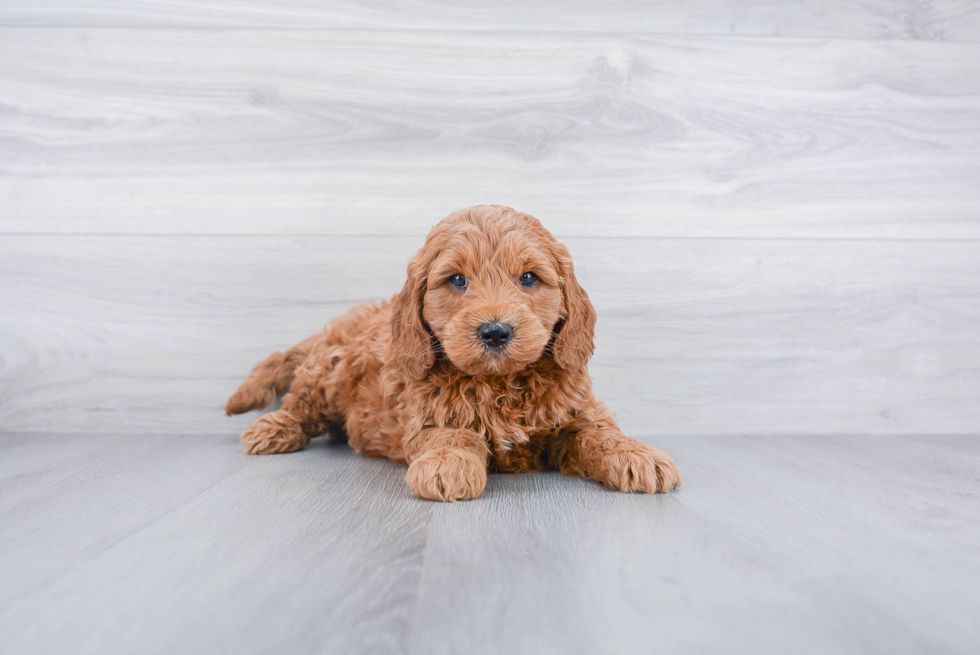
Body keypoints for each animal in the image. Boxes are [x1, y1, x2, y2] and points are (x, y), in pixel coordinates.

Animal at [225, 205, 676, 502]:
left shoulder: (576, 409)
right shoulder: (428, 414)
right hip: (328, 369)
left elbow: (598, 433)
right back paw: (274, 428)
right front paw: (448, 465)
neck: (500, 382)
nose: (495, 331)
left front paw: (636, 454)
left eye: (529, 278)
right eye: (457, 280)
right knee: (301, 401)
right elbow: (453, 434)